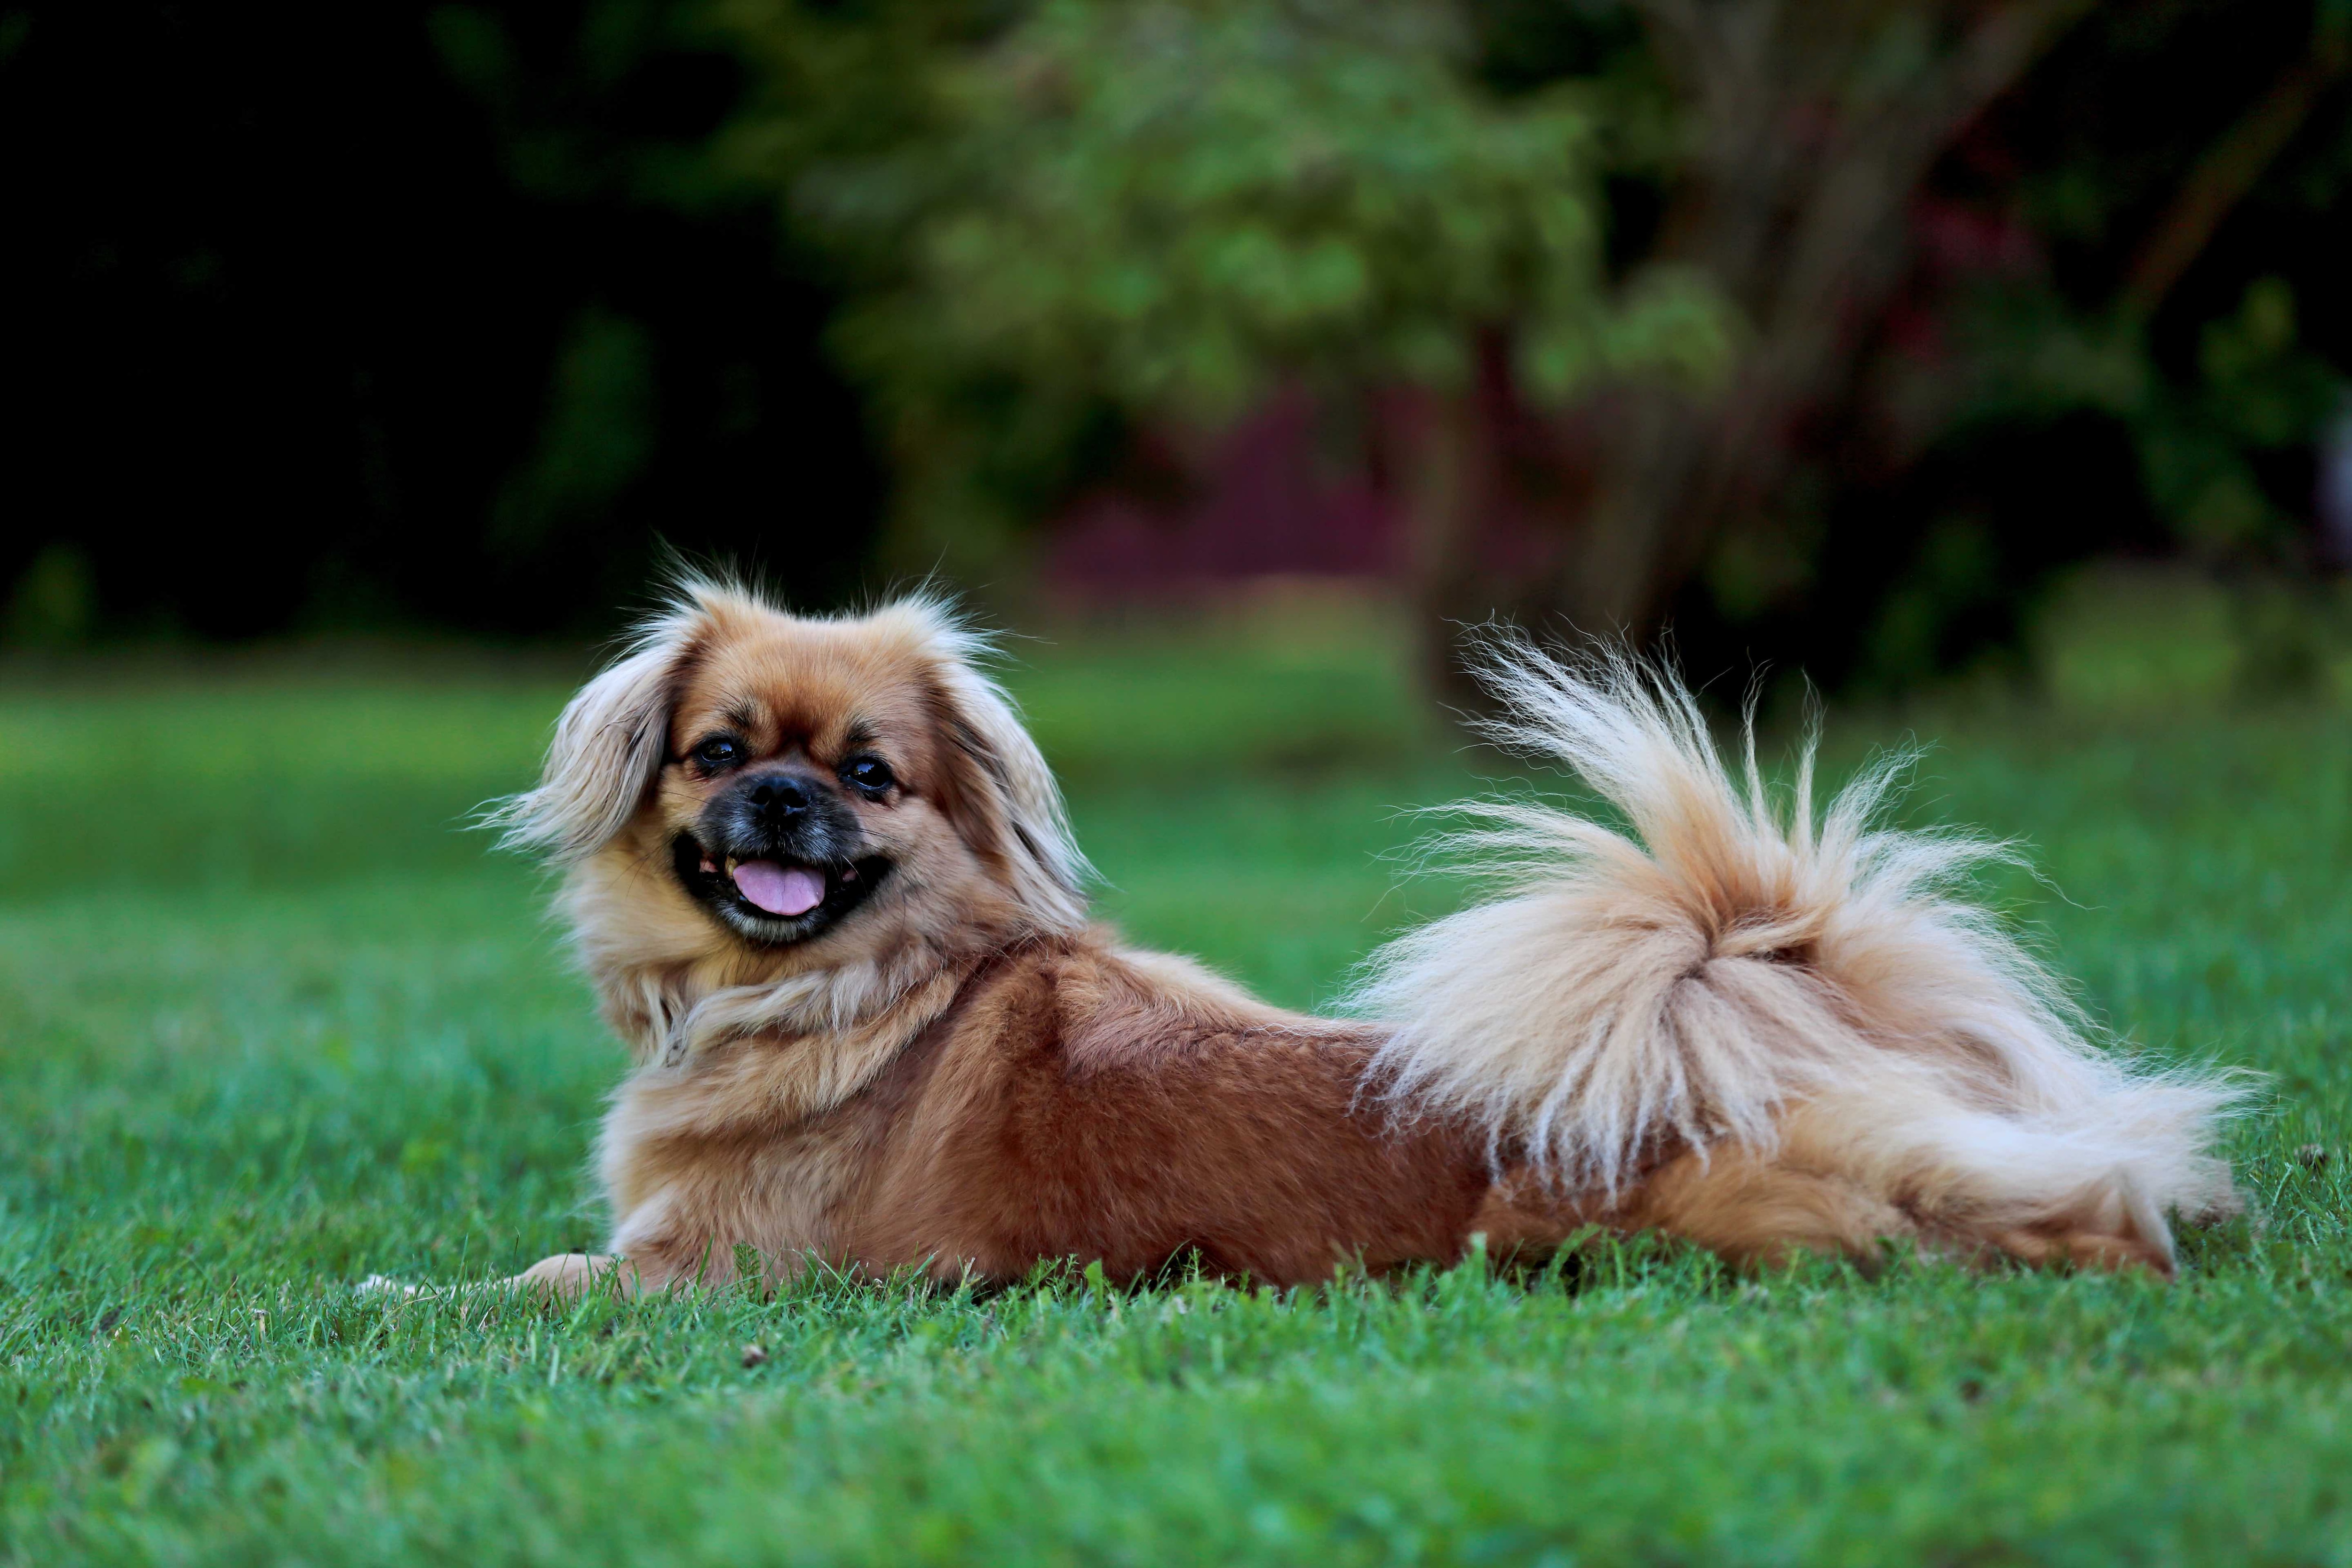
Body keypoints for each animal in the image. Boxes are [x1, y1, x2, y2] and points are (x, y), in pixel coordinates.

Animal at [487, 576, 2230, 1297]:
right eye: (719, 753)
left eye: (870, 778)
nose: (781, 798)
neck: (855, 985)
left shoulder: (707, 1274)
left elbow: (518, 1286)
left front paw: (421, 1302)